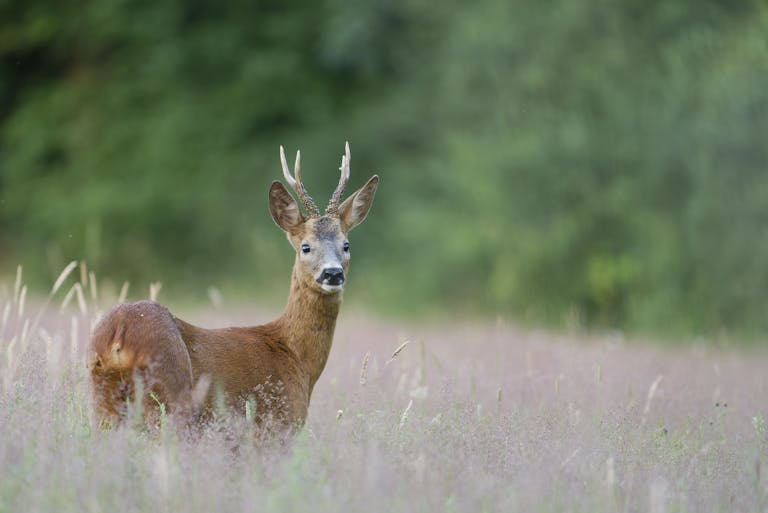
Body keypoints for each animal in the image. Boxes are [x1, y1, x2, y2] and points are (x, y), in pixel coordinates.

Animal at [90, 142, 379, 431]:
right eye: (306, 247)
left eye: (346, 245)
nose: (333, 273)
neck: (296, 357)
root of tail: (118, 337)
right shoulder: (277, 424)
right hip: (170, 396)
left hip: (104, 402)